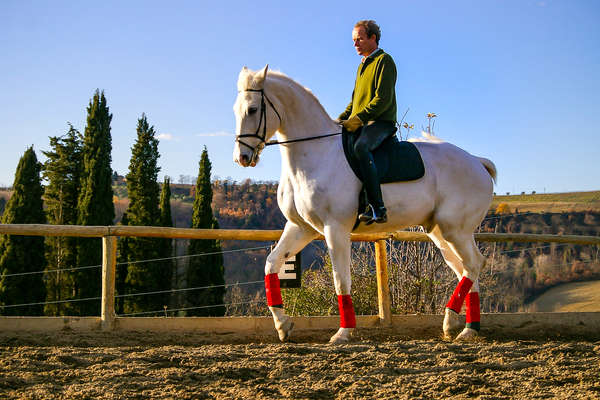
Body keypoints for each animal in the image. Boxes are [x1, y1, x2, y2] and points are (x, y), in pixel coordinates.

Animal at [232, 65, 494, 344]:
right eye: (236, 110)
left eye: (252, 110)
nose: (242, 158)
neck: (316, 153)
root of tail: (477, 162)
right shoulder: (301, 228)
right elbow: (271, 264)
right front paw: (283, 325)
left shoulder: (335, 229)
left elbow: (340, 280)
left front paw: (343, 332)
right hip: (440, 233)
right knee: (466, 268)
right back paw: (465, 326)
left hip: (455, 230)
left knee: (474, 265)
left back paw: (456, 322)